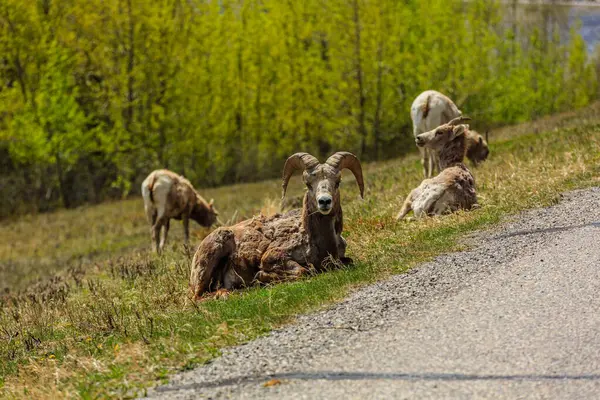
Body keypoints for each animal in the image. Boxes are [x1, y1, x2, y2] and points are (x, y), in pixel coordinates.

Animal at [190, 152, 364, 298]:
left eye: (337, 182)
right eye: (308, 184)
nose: (324, 202)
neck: (317, 243)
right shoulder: (273, 257)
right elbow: (302, 271)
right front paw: (261, 277)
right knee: (198, 297)